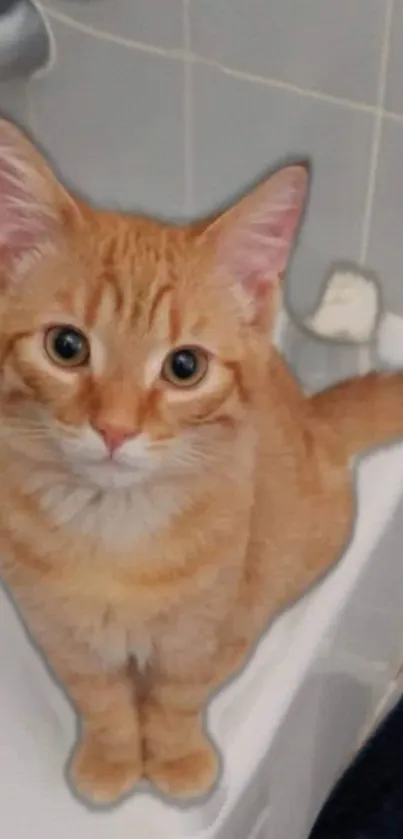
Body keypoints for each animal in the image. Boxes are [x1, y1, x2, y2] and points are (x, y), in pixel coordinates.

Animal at [0, 118, 403, 808]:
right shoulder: (56, 631)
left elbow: (176, 696)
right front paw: (112, 757)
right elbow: (101, 698)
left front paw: (174, 757)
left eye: (184, 366)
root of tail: (316, 421)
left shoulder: (213, 626)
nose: (115, 428)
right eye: (66, 346)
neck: (115, 530)